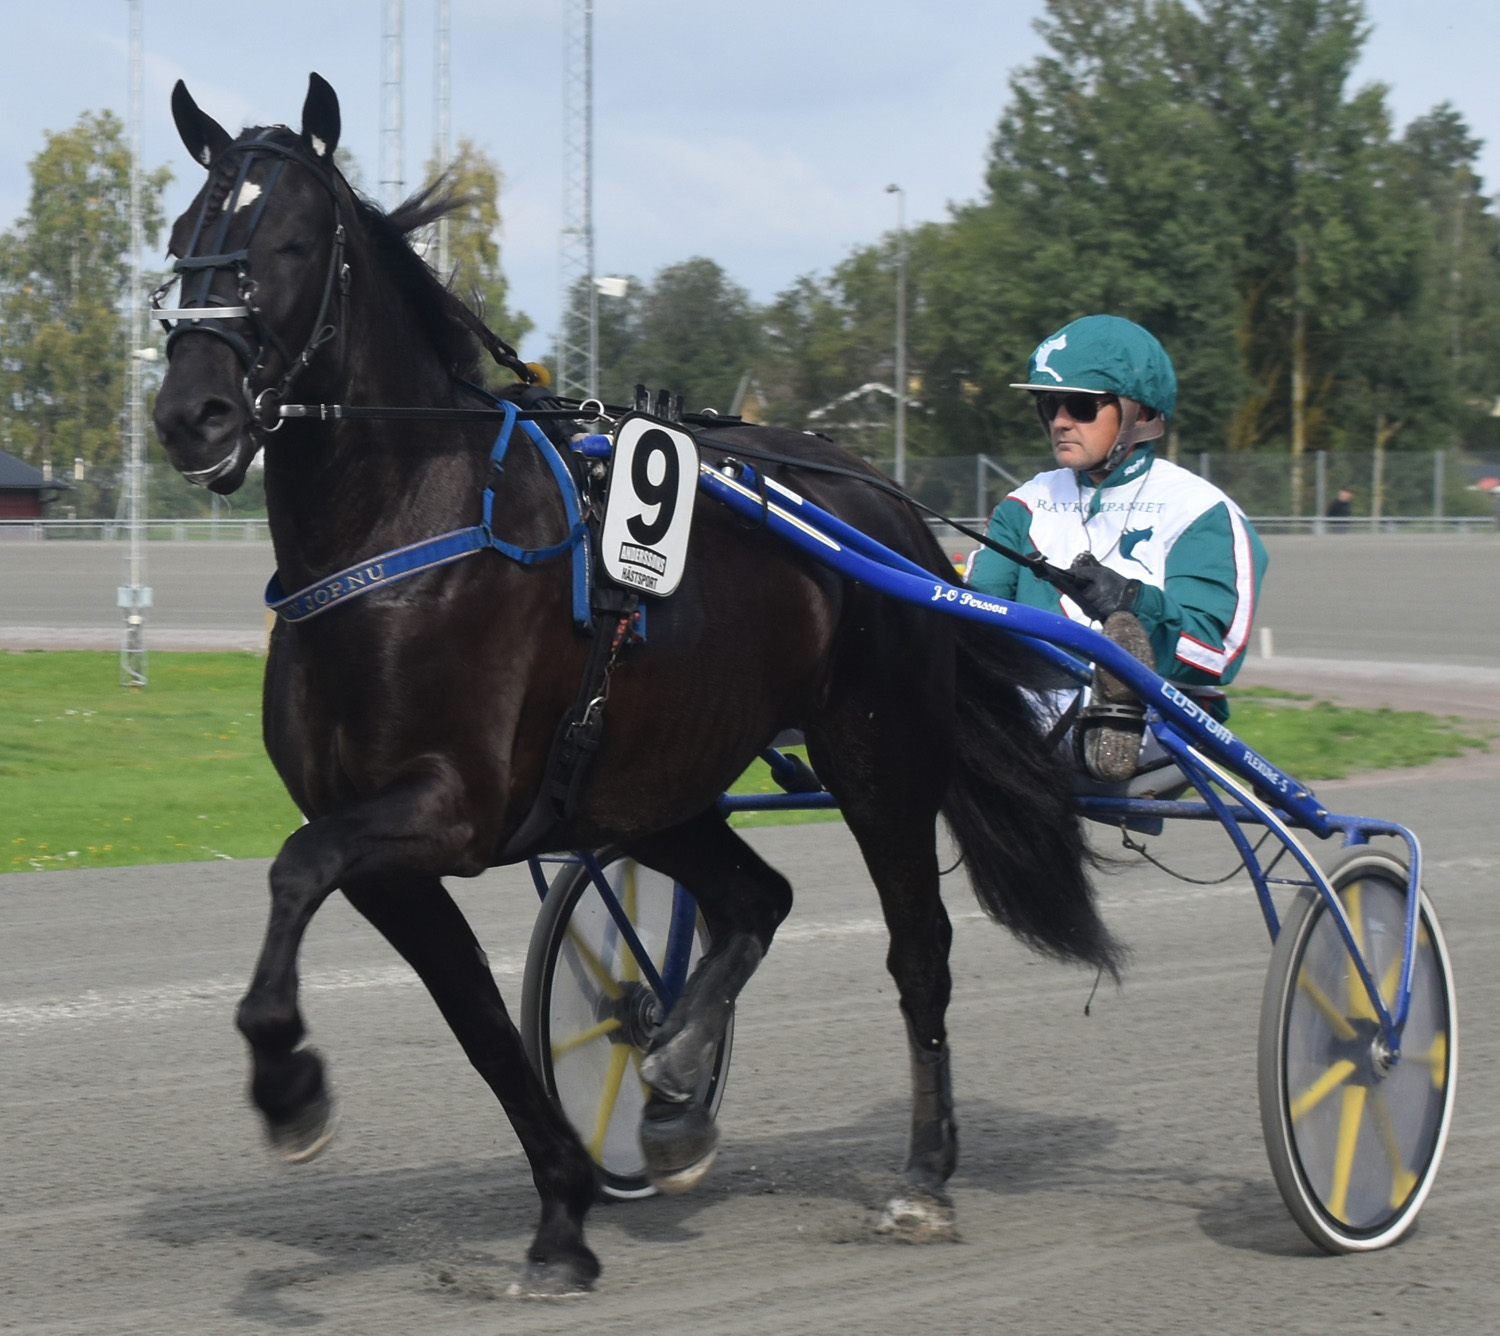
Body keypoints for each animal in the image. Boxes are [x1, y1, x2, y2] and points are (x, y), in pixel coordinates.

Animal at [155, 75, 1116, 1295]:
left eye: (284, 241)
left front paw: (289, 1088)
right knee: (758, 898)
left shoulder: (444, 809)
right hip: (654, 784)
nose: (193, 412)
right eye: (181, 240)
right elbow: (480, 1023)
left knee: (920, 950)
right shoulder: (398, 849)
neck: (399, 533)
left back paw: (922, 1175)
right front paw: (565, 1215)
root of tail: (887, 506)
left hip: (875, 752)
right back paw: (669, 1086)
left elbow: (293, 870)